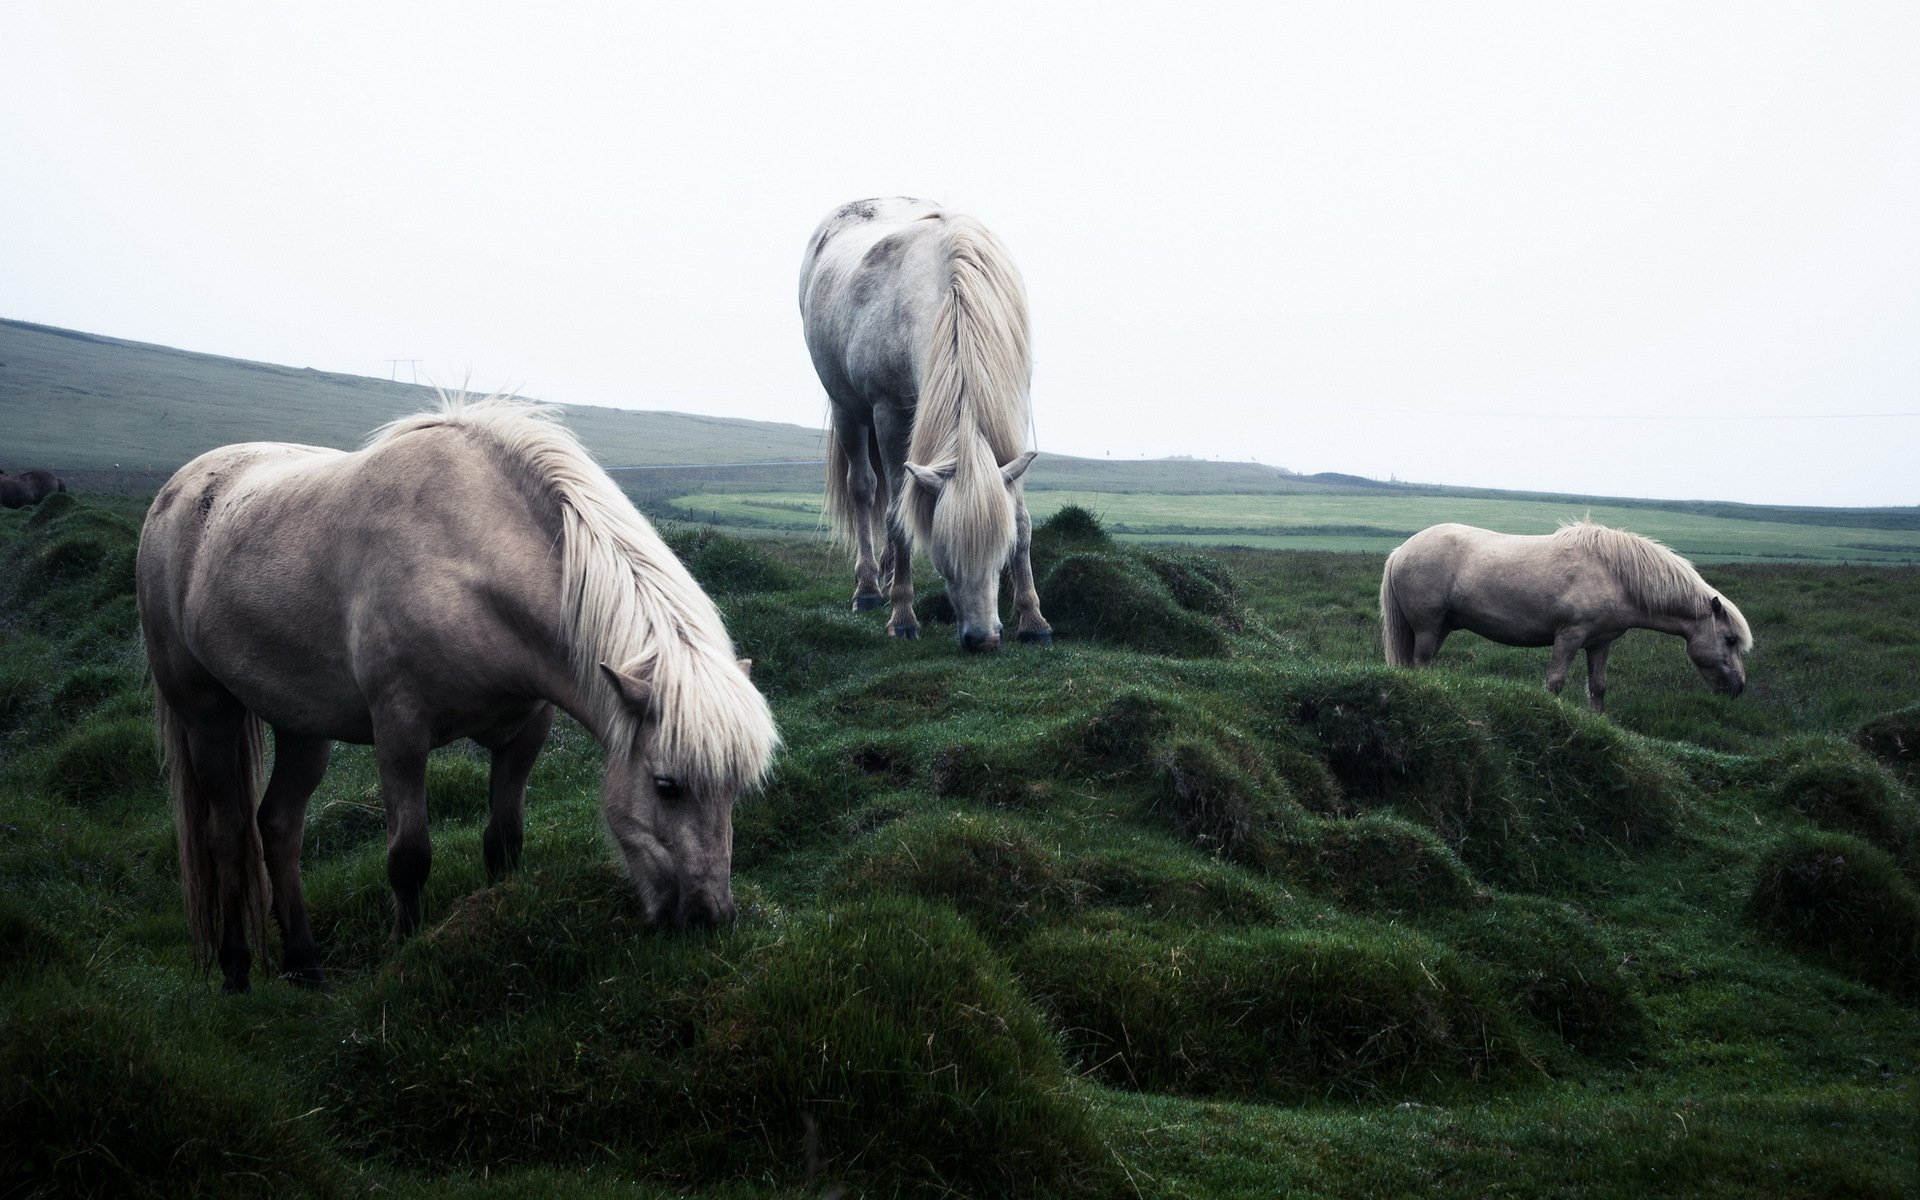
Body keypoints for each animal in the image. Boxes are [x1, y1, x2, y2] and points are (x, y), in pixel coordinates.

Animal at [133, 397, 779, 990]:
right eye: (667, 786)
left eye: (736, 790)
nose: (708, 919)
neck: (463, 561)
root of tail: (175, 489)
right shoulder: (400, 734)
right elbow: (408, 858)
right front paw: (403, 956)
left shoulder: (524, 731)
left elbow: (504, 841)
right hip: (206, 714)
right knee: (227, 834)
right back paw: (237, 972)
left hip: (302, 725)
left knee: (279, 827)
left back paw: (306, 967)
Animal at [802, 193, 1059, 656]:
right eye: (944, 559)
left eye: (999, 555)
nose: (983, 640)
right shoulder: (889, 415)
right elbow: (896, 516)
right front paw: (903, 617)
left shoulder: (1011, 413)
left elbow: (1021, 518)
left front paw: (1034, 619)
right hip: (849, 410)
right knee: (864, 489)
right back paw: (870, 588)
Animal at [1382, 518, 1758, 710]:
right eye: (1730, 639)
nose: (1739, 687)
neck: (1615, 575)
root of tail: (1402, 549)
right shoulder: (1569, 636)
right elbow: (1555, 682)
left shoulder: (1601, 643)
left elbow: (1599, 687)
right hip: (1428, 627)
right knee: (1420, 664)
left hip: (1440, 628)